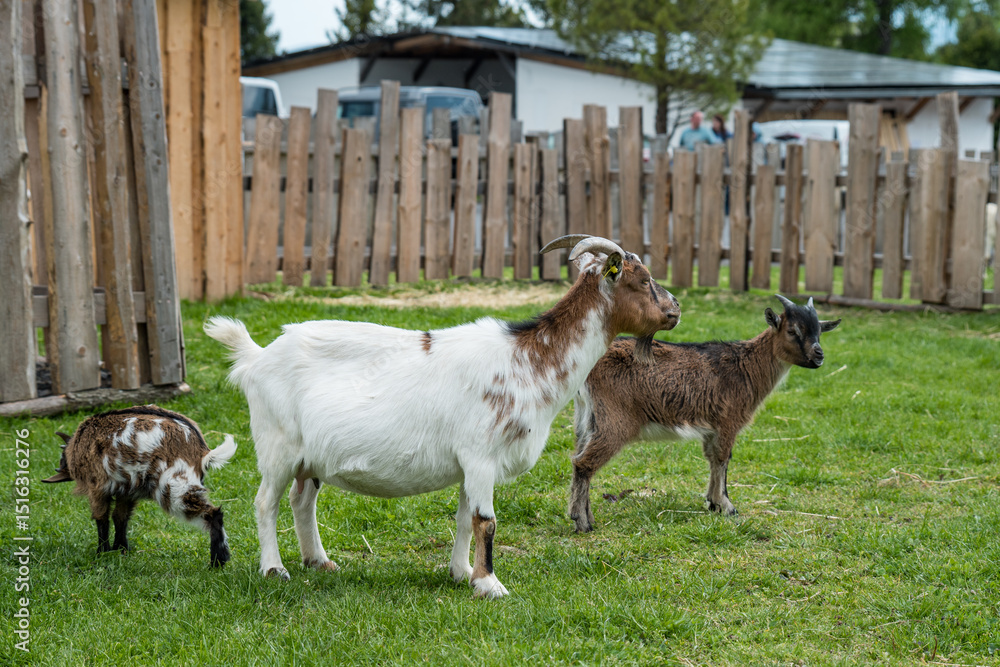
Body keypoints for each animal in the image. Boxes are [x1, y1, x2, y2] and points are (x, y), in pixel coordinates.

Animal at [42, 405, 237, 566]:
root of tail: (202, 450)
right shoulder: (126, 491)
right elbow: (120, 517)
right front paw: (121, 549)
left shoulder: (97, 487)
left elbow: (101, 518)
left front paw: (101, 552)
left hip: (175, 487)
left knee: (213, 513)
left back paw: (217, 561)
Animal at [205, 235, 680, 598]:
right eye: (643, 279)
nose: (675, 309)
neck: (526, 361)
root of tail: (257, 356)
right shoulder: (481, 454)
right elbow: (486, 522)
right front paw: (490, 585)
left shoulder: (471, 464)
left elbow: (465, 520)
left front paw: (462, 574)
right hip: (277, 445)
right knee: (265, 502)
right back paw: (274, 569)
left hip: (310, 456)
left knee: (302, 500)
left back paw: (319, 562)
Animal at [568, 295, 840, 532]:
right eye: (793, 331)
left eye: (819, 331)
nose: (819, 356)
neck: (746, 367)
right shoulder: (728, 420)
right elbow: (722, 458)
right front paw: (727, 506)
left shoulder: (711, 427)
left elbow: (712, 458)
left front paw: (712, 503)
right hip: (616, 420)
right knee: (584, 462)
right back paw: (582, 522)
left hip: (587, 419)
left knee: (578, 457)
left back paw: (586, 516)